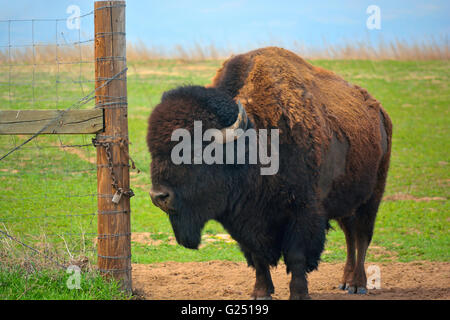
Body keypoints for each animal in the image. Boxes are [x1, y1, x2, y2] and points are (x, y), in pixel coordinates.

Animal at [147, 47, 390, 300]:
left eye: (193, 152)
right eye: (152, 150)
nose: (159, 196)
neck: (255, 140)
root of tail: (379, 112)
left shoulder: (302, 212)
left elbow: (297, 256)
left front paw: (299, 294)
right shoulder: (245, 221)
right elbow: (257, 257)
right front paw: (261, 292)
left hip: (372, 197)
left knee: (361, 236)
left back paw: (358, 284)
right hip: (347, 202)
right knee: (350, 236)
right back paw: (345, 282)